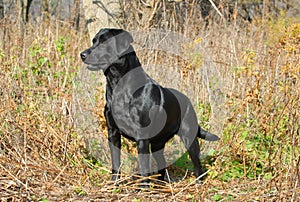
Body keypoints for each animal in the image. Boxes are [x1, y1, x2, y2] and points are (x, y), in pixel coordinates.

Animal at [81, 28, 219, 185]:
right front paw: (114, 183)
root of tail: (187, 100)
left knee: (197, 164)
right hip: (158, 143)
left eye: (104, 42)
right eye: (93, 41)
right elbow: (115, 162)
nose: (82, 54)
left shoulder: (142, 136)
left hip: (189, 136)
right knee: (162, 165)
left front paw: (143, 188)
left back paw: (198, 183)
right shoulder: (113, 132)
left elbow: (143, 166)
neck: (118, 85)